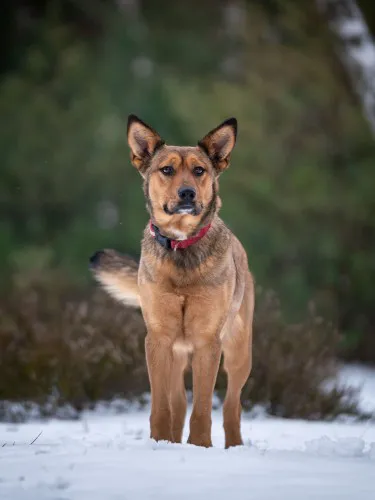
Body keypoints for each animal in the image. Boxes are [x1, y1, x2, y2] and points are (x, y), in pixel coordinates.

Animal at [90, 114, 256, 450]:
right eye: (166, 170)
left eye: (199, 170)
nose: (187, 193)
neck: (181, 246)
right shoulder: (158, 339)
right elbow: (161, 404)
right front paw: (160, 442)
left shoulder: (208, 341)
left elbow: (203, 406)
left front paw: (200, 446)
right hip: (178, 354)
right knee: (177, 402)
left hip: (238, 352)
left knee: (232, 405)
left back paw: (233, 445)